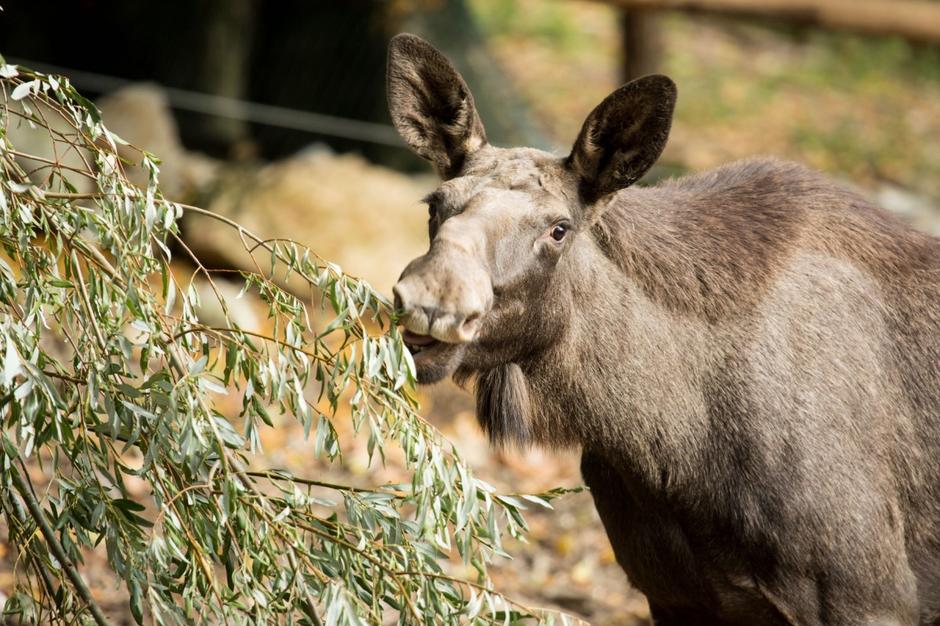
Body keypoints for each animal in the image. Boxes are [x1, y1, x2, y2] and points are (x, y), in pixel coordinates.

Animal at [386, 35, 940, 624]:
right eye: (435, 205)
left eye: (559, 229)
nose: (431, 301)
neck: (674, 451)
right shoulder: (670, 594)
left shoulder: (870, 597)